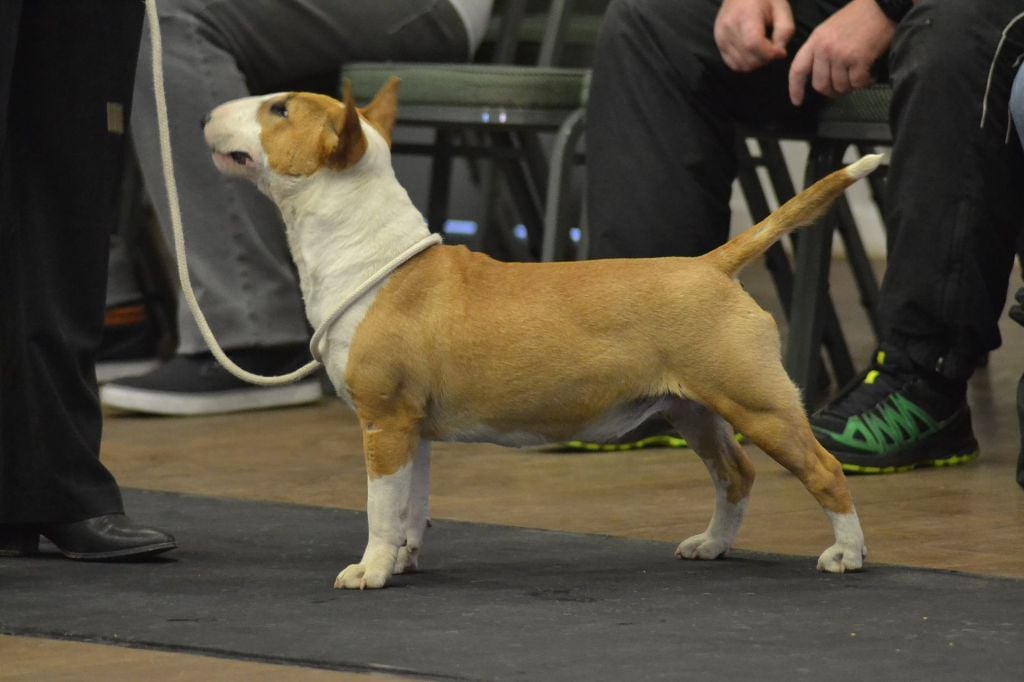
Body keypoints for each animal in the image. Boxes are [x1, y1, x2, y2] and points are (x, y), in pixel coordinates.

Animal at [203, 79, 876, 585]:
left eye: (280, 109)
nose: (208, 114)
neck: (374, 258)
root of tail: (712, 264)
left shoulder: (384, 420)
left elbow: (378, 505)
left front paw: (369, 571)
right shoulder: (411, 427)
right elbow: (411, 504)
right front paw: (402, 559)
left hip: (756, 401)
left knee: (824, 469)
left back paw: (847, 553)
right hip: (692, 408)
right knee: (735, 474)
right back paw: (711, 544)